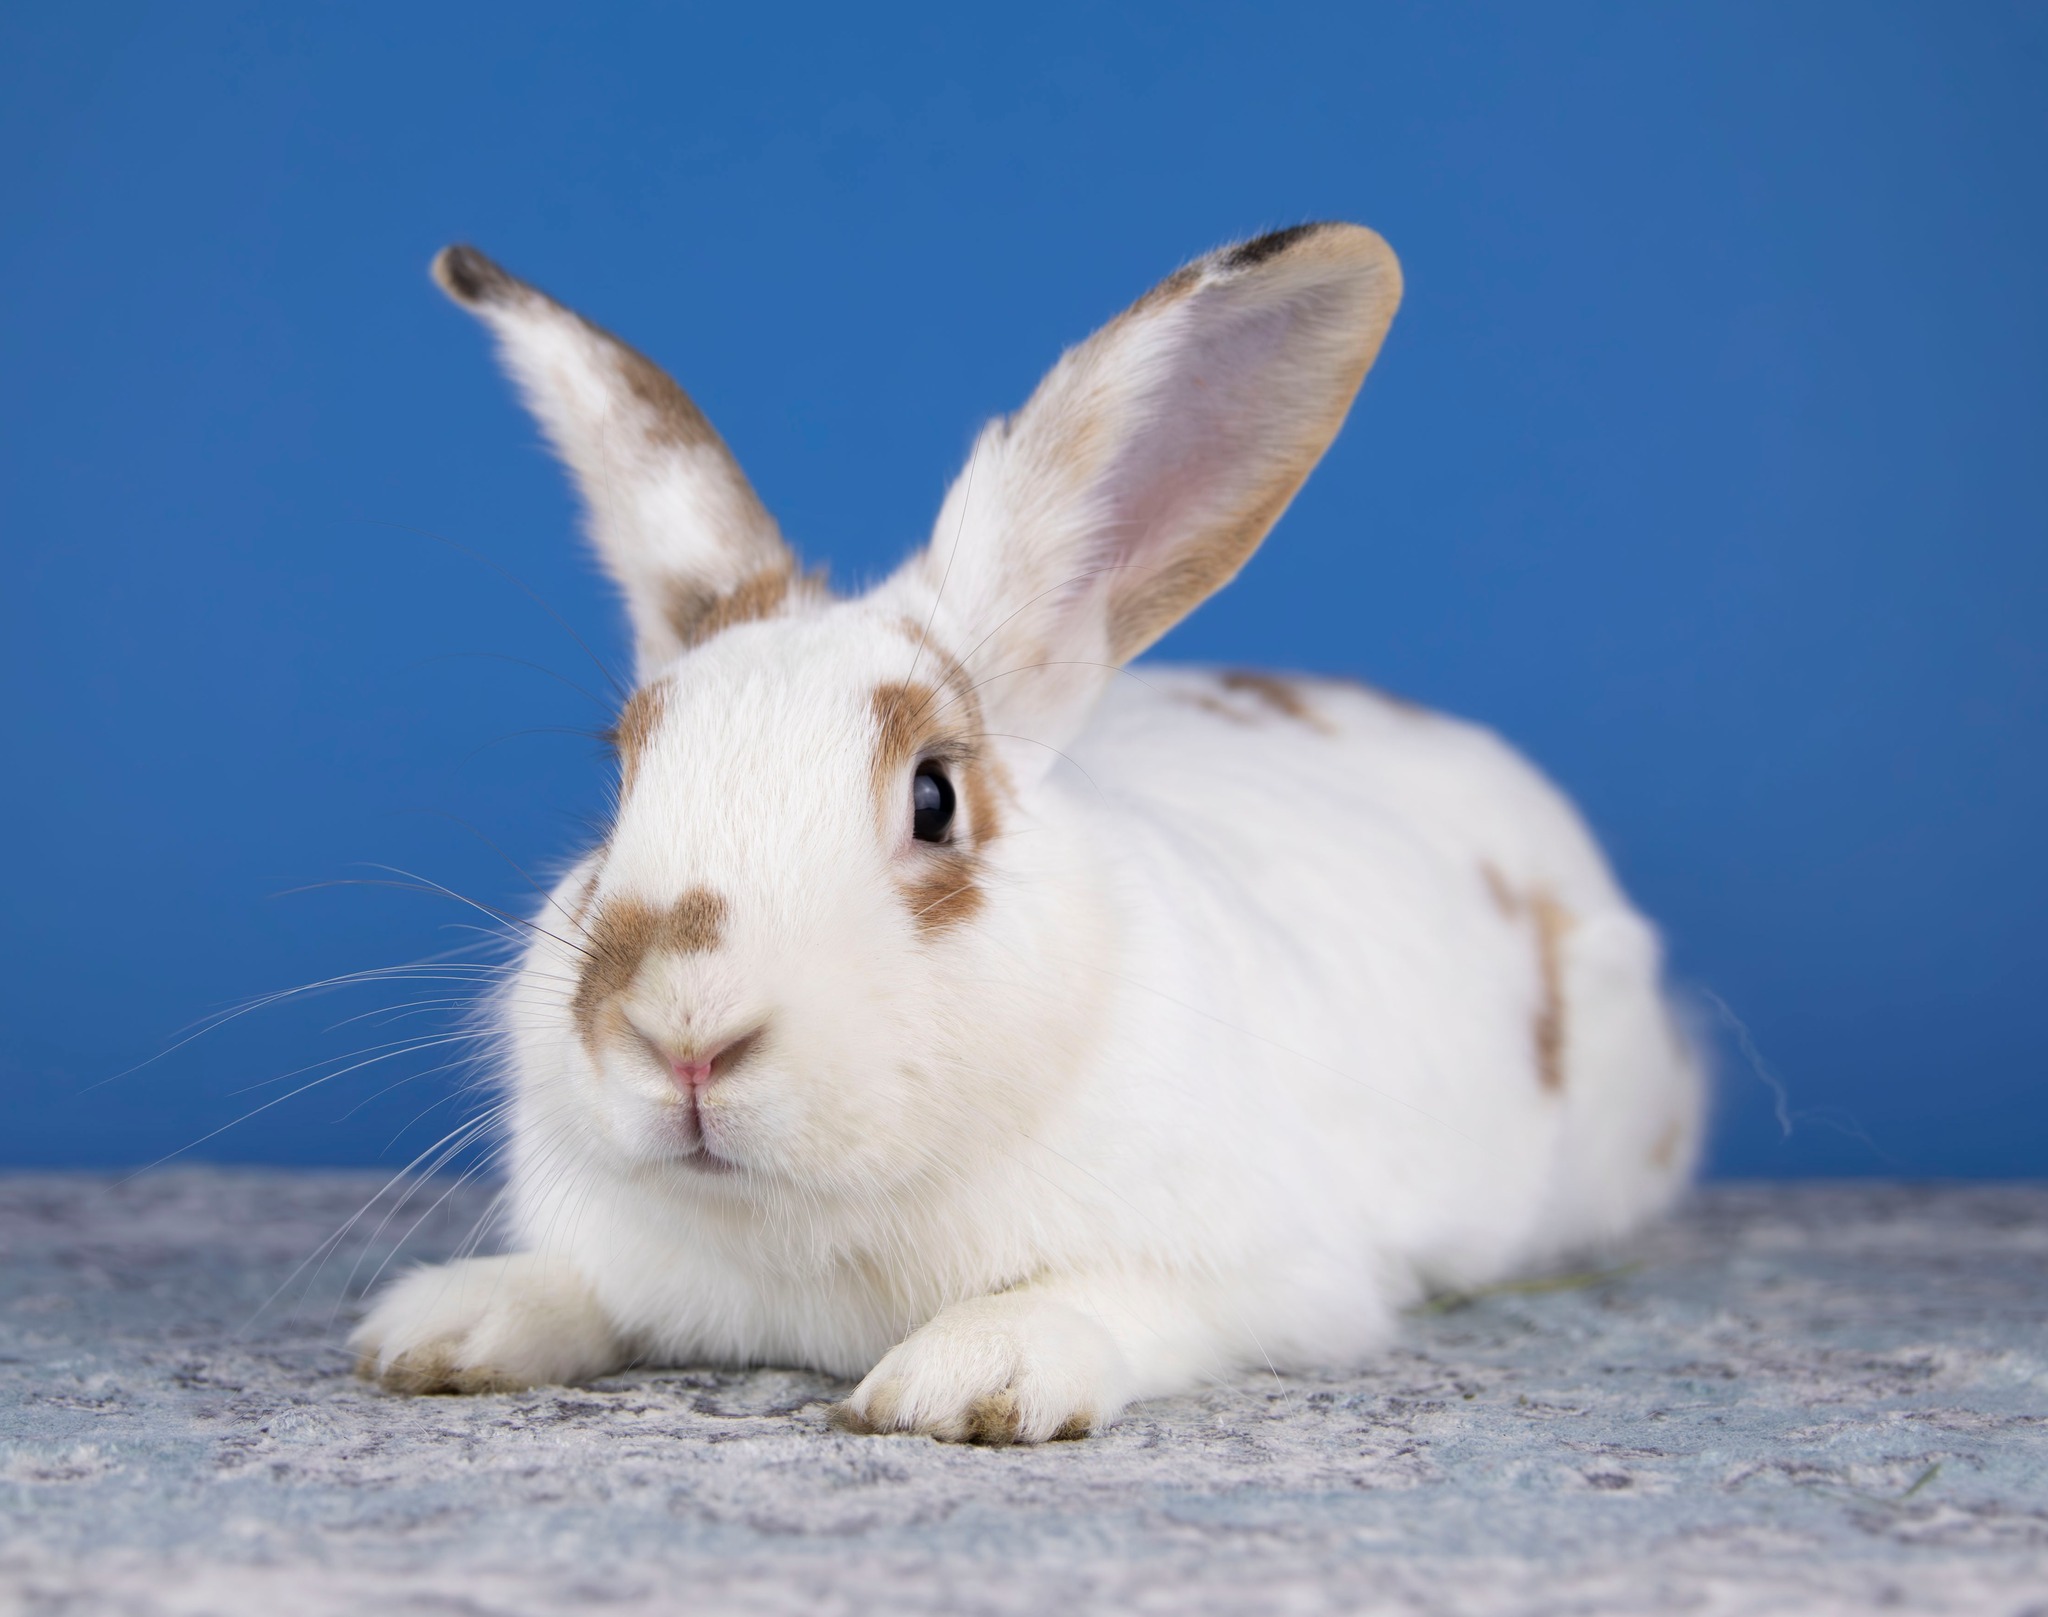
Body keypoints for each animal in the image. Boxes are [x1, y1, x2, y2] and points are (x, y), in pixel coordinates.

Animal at [350, 222, 1703, 1443]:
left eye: (933, 798)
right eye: (622, 782)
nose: (683, 1034)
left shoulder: (1271, 1276)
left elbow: (1103, 1296)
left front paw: (968, 1377)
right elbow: (573, 1288)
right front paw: (436, 1330)